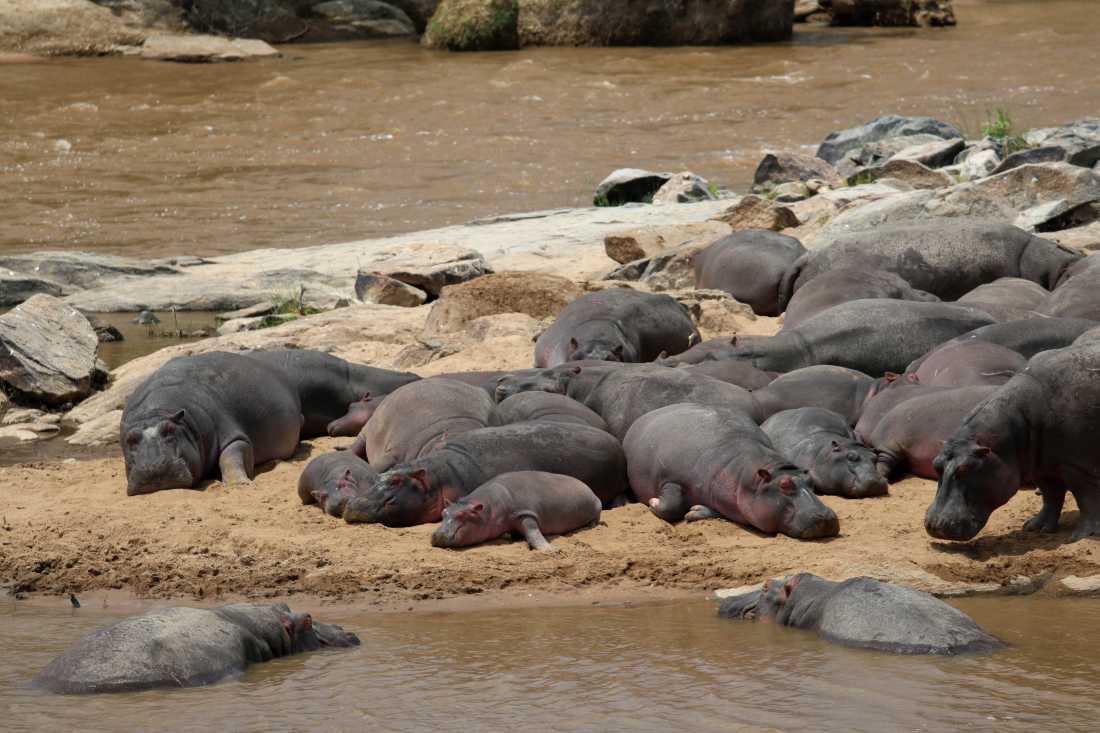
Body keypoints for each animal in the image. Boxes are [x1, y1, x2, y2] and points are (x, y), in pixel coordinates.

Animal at [121, 352, 304, 495]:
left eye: (170, 429)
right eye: (129, 439)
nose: (153, 466)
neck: (154, 412)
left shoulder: (232, 435)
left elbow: (229, 457)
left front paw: (239, 483)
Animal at [430, 471, 602, 551]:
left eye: (462, 515)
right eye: (443, 513)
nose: (438, 535)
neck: (487, 508)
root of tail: (588, 487)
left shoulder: (525, 513)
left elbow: (533, 533)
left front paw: (551, 550)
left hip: (597, 505)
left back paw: (591, 526)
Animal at [623, 403, 838, 538]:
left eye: (811, 482)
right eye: (785, 484)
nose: (825, 517)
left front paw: (695, 511)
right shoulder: (671, 477)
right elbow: (670, 506)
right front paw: (654, 502)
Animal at [926, 341, 1100, 542]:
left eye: (966, 468)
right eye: (935, 465)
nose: (934, 526)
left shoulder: (1077, 467)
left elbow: (1086, 500)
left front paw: (1083, 535)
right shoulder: (1041, 466)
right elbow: (1051, 496)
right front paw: (1035, 527)